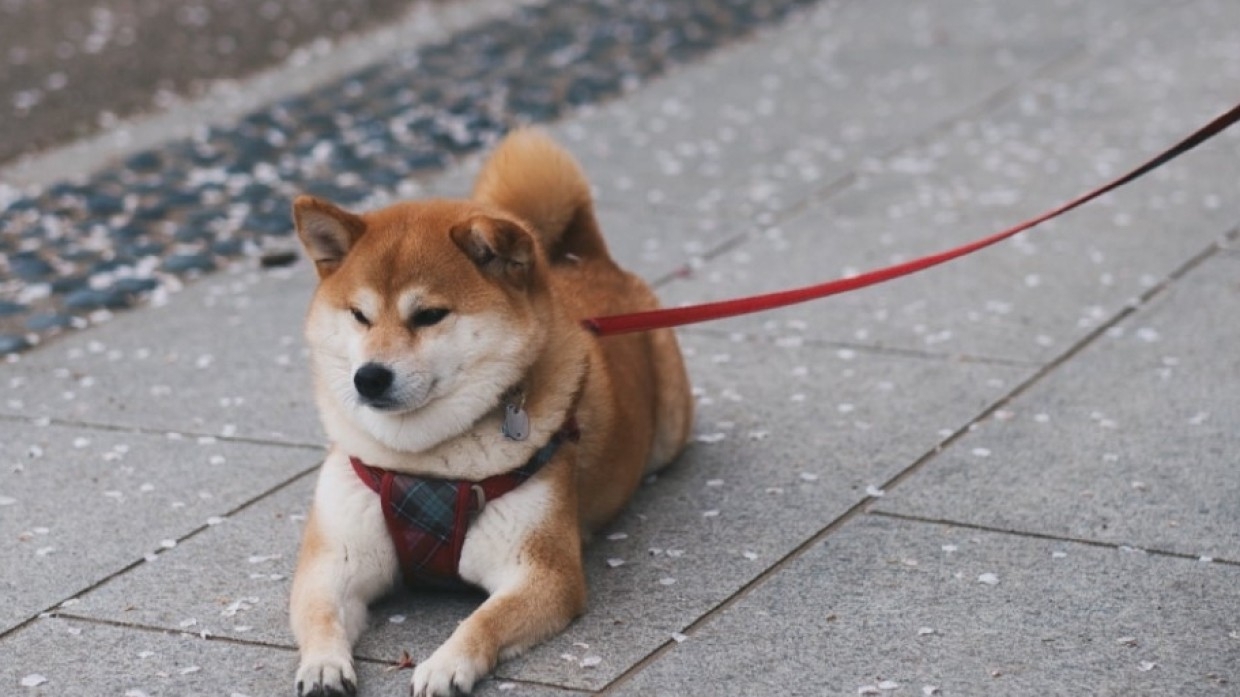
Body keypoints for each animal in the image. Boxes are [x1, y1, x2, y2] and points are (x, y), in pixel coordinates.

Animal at [291, 127, 699, 689]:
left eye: (429, 315)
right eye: (359, 315)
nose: (369, 377)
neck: (423, 464)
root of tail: (585, 259)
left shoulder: (541, 571)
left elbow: (483, 620)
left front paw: (446, 664)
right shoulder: (334, 560)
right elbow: (318, 613)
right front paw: (323, 664)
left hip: (670, 428)